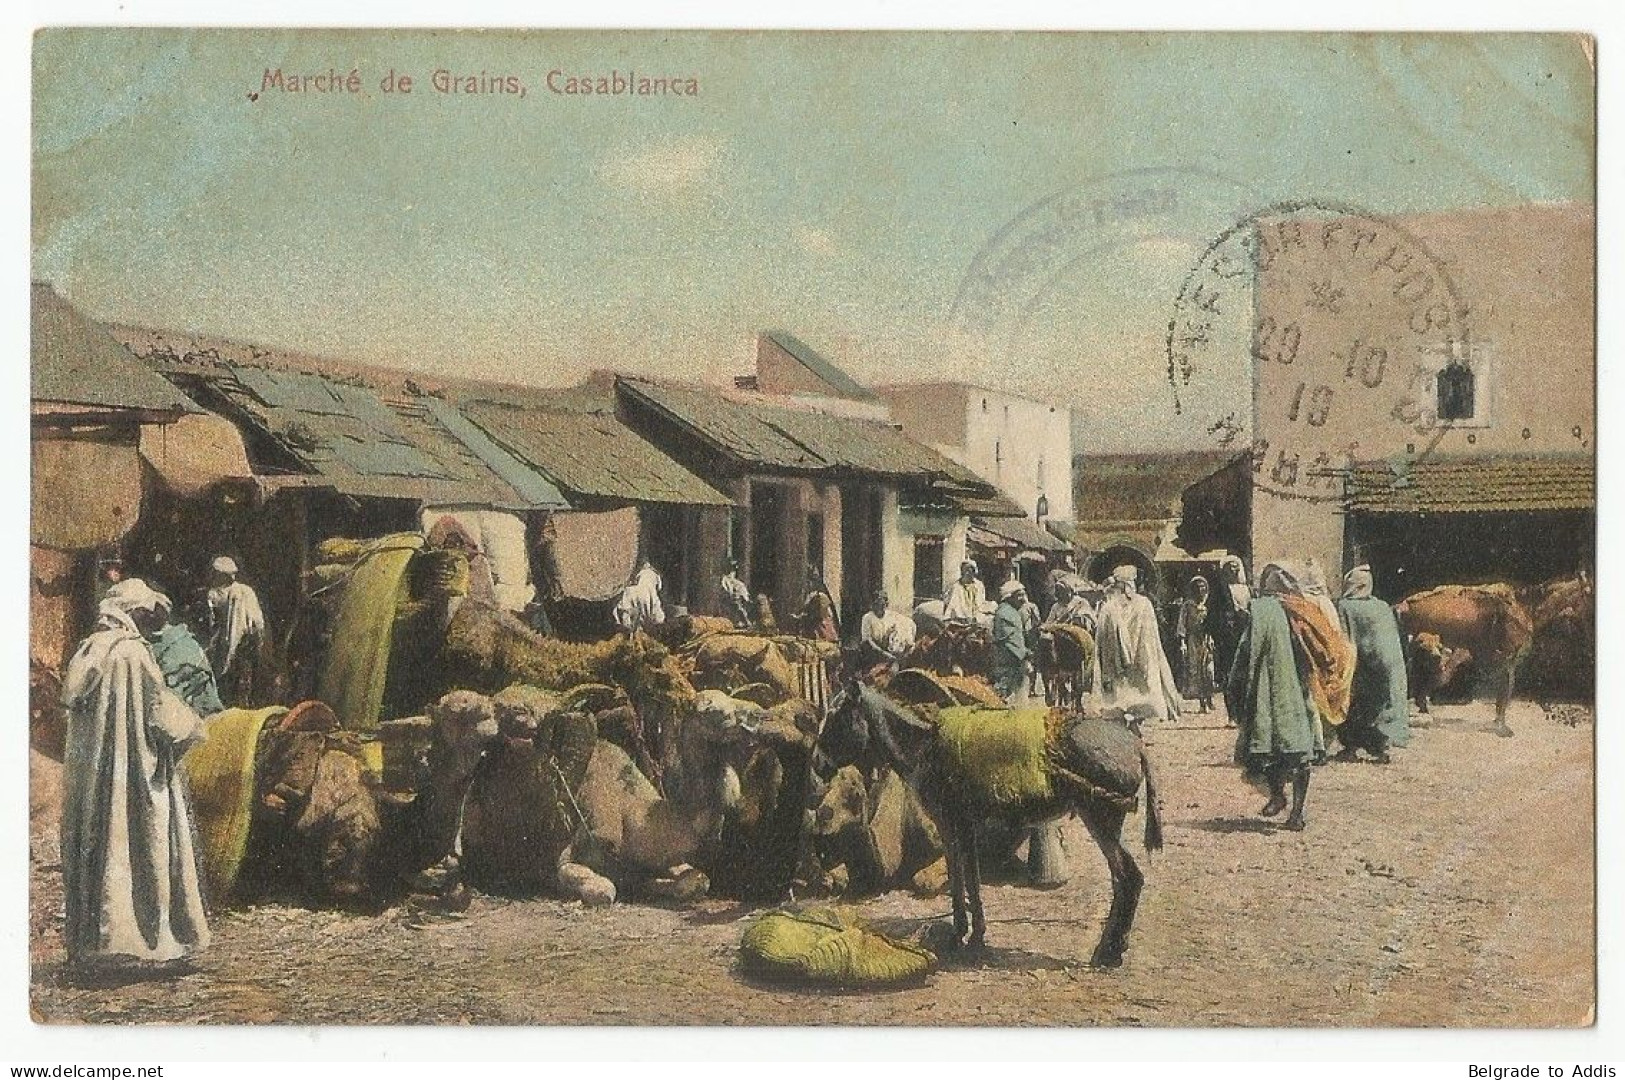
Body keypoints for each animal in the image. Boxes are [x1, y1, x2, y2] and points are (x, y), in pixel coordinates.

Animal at [812, 678, 1157, 961]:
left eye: (837, 719)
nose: (816, 765)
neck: (925, 746)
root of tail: (1134, 742)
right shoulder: (964, 826)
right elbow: (969, 877)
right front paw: (973, 933)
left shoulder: (950, 824)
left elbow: (960, 876)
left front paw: (960, 935)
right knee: (1125, 878)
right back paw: (1115, 947)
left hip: (1101, 819)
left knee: (1128, 876)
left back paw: (1107, 951)